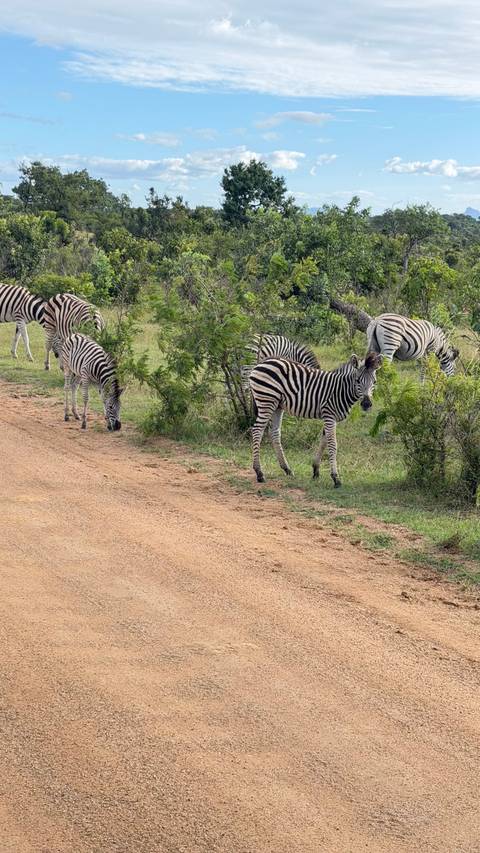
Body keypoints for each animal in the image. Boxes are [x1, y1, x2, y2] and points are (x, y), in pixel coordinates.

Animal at [248, 352, 382, 487]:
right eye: (357, 381)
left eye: (374, 382)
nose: (366, 404)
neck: (340, 390)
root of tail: (262, 362)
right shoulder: (329, 415)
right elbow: (332, 445)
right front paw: (336, 478)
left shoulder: (330, 417)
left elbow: (323, 442)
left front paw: (316, 470)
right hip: (267, 400)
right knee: (257, 431)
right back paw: (259, 473)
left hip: (277, 405)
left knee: (274, 433)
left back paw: (287, 469)